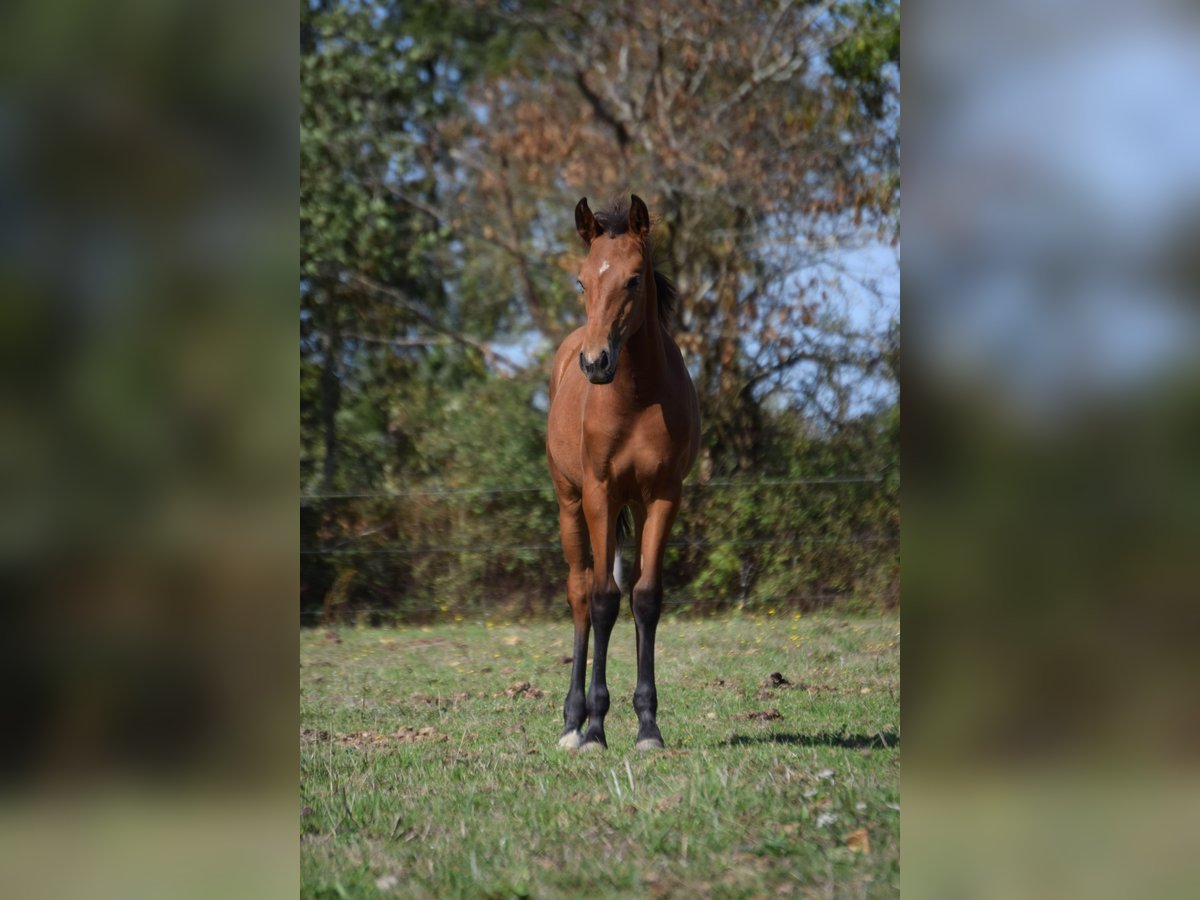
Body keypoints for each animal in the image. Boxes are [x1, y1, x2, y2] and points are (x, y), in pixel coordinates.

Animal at [545, 194, 700, 751]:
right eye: (581, 281)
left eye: (634, 279)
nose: (596, 363)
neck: (635, 398)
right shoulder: (599, 493)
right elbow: (601, 600)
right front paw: (594, 727)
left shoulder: (663, 495)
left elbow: (646, 598)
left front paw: (648, 725)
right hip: (571, 503)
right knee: (580, 593)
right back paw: (573, 722)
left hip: (629, 505)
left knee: (624, 588)